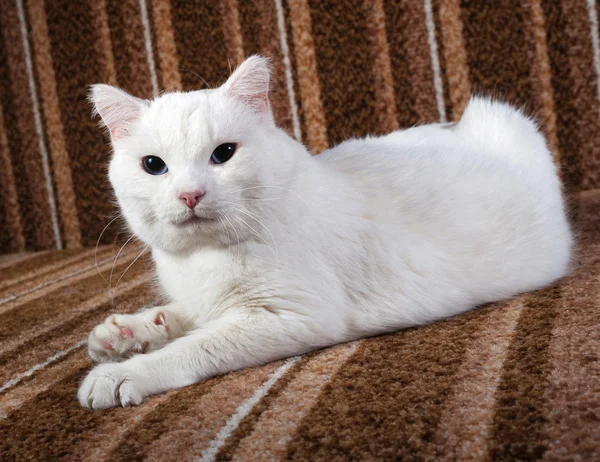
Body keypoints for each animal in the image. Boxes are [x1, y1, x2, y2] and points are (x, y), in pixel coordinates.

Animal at [78, 56, 572, 408]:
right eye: (154, 166)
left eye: (223, 154)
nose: (189, 194)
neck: (202, 259)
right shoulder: (204, 301)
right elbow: (179, 315)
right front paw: (123, 333)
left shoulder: (290, 315)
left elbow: (194, 346)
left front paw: (125, 371)